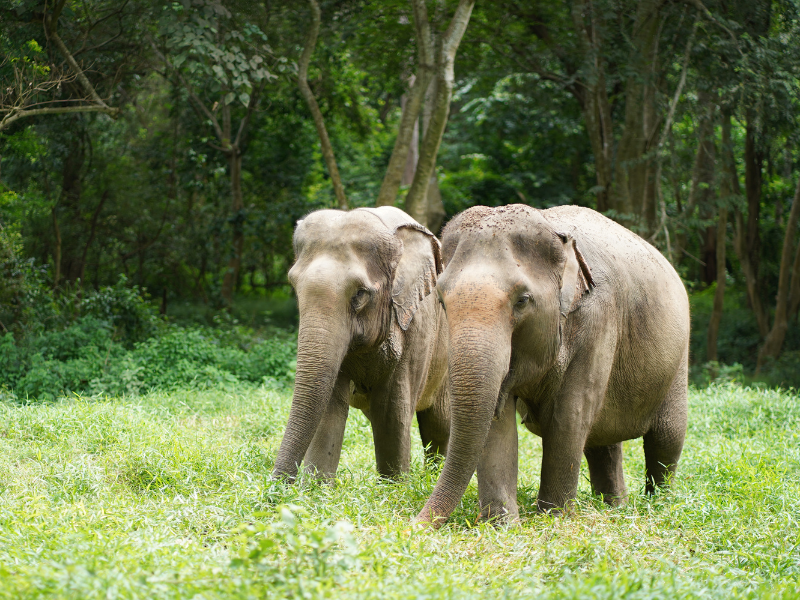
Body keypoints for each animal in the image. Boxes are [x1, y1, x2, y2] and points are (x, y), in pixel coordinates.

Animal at [272, 206, 450, 483]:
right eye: (294, 286)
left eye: (359, 295)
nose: (275, 486)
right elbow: (330, 405)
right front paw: (314, 487)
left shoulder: (417, 326)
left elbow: (392, 412)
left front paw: (394, 485)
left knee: (438, 424)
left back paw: (431, 477)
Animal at [414, 204, 689, 527]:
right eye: (441, 300)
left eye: (522, 300)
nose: (413, 525)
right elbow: (497, 418)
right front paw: (501, 524)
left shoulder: (598, 320)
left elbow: (570, 415)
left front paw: (553, 517)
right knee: (603, 443)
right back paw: (614, 506)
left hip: (678, 361)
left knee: (667, 437)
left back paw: (657, 503)